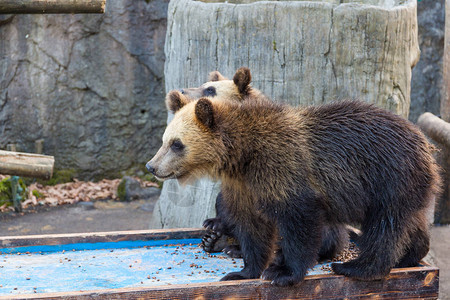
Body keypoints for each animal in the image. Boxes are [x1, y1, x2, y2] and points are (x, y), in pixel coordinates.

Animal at [149, 72, 440, 286]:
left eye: (177, 144)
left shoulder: (285, 167)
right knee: (407, 221)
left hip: (389, 175)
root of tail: (425, 144)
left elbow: (298, 221)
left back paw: (356, 267)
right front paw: (242, 271)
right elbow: (251, 225)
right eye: (164, 141)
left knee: (385, 225)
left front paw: (283, 273)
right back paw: (409, 255)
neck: (243, 155)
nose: (152, 166)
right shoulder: (244, 185)